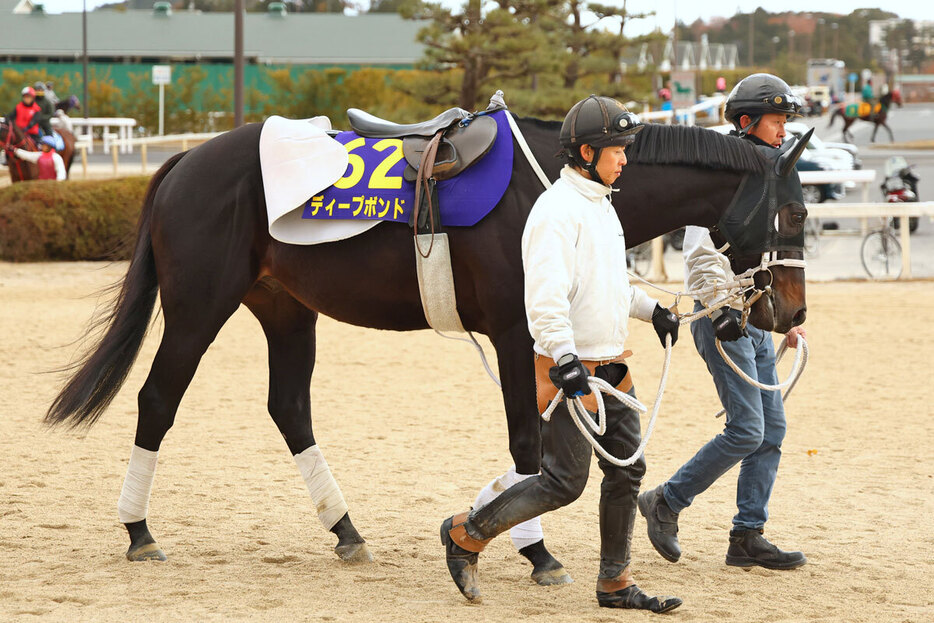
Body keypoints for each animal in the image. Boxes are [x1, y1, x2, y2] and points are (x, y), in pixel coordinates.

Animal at [44, 116, 808, 580]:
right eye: (795, 210)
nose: (789, 311)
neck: (549, 185)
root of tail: (184, 162)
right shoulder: (515, 332)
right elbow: (526, 442)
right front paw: (535, 551)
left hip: (286, 310)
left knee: (289, 409)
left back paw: (346, 529)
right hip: (199, 308)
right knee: (157, 400)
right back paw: (139, 530)